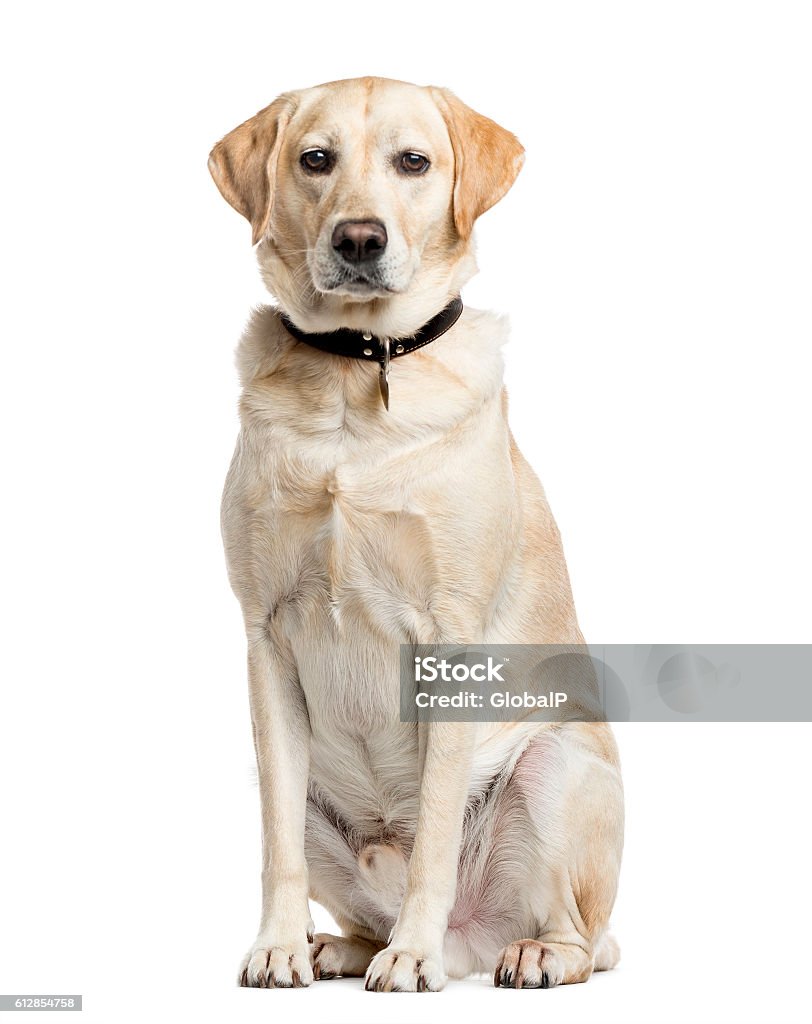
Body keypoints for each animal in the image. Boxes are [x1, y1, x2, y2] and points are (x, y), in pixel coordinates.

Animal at [207, 77, 622, 991]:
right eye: (314, 159)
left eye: (414, 162)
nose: (359, 238)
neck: (358, 371)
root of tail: (476, 943)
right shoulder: (265, 639)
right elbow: (275, 846)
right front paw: (277, 945)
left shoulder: (448, 640)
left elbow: (432, 829)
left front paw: (411, 959)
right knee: (345, 889)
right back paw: (338, 945)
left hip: (556, 766)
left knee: (585, 937)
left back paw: (522, 953)